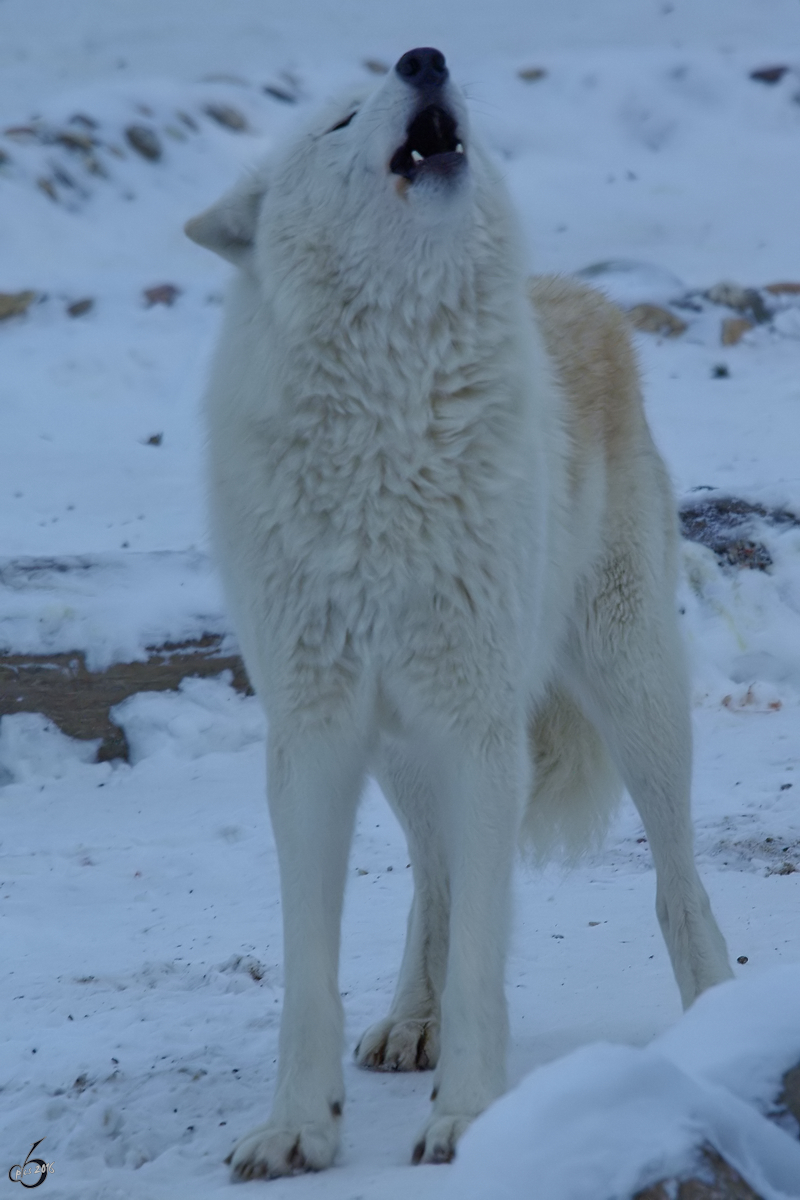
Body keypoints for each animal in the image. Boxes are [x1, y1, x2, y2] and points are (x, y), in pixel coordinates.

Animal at [185, 49, 734, 1180]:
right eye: (338, 120)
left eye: (399, 77)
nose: (425, 58)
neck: (390, 412)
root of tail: (580, 292)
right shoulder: (314, 738)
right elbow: (312, 969)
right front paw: (298, 1126)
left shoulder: (480, 728)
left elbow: (486, 948)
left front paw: (470, 1117)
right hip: (405, 754)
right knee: (429, 885)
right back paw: (410, 1022)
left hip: (636, 699)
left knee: (676, 882)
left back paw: (716, 1012)